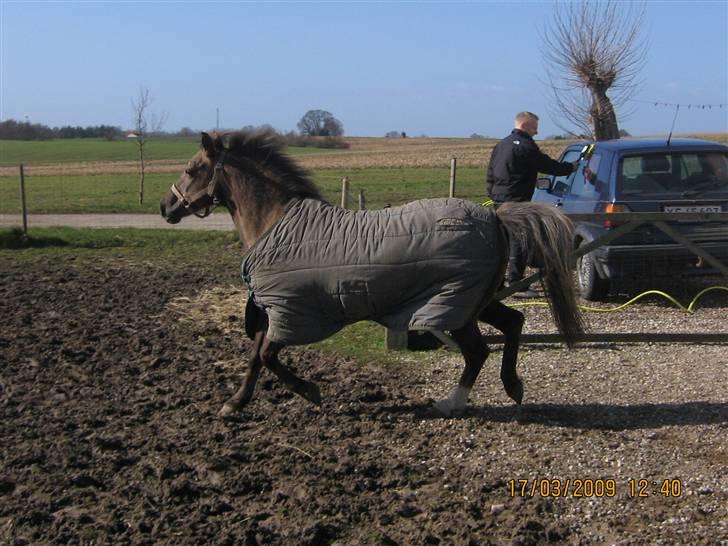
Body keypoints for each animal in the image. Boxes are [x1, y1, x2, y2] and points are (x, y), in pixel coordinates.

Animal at [159, 130, 584, 414]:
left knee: (478, 351)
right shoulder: (274, 310)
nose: (166, 207)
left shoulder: (289, 311)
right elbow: (255, 357)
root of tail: (496, 218)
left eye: (191, 169)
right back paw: (513, 386)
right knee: (513, 322)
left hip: (456, 306)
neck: (274, 222)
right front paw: (236, 402)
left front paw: (310, 391)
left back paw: (452, 403)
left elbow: (266, 356)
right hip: (475, 300)